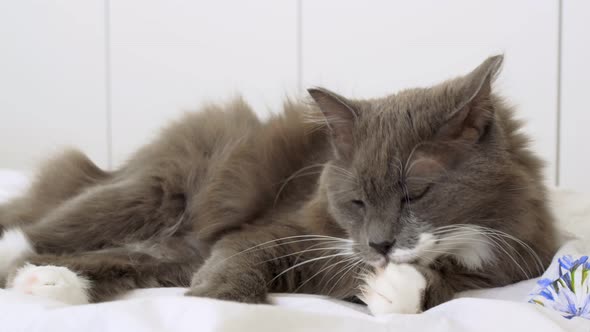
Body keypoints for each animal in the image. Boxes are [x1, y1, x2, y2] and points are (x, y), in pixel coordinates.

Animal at [0, 55, 560, 316]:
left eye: (414, 194)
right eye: (357, 201)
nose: (379, 245)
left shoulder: (513, 262)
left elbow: (446, 287)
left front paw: (394, 287)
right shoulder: (273, 232)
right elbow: (233, 270)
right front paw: (212, 307)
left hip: (172, 237)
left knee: (129, 259)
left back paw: (42, 282)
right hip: (153, 191)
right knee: (44, 231)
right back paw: (20, 256)